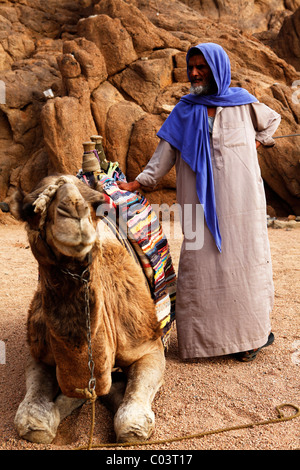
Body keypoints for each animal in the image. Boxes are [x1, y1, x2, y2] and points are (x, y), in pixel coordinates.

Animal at [10, 175, 165, 444]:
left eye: (96, 204)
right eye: (32, 210)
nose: (74, 212)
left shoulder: (148, 345)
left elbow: (130, 424)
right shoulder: (39, 354)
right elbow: (32, 422)